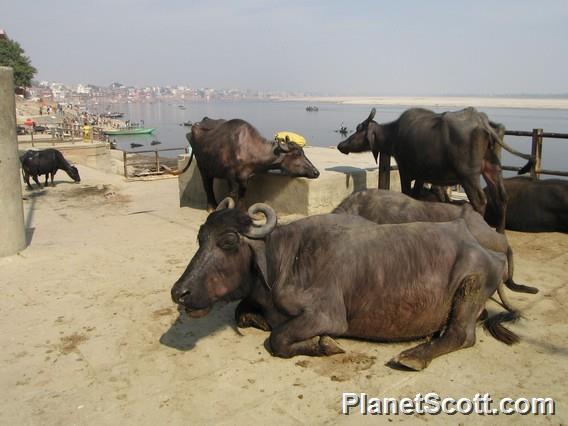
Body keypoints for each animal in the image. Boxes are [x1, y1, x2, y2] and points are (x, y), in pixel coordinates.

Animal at [164, 117, 320, 211]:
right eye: (297, 154)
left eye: (303, 152)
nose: (316, 172)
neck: (248, 149)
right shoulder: (231, 177)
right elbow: (232, 195)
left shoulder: (245, 178)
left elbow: (243, 194)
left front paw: (242, 211)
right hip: (204, 168)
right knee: (207, 185)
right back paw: (212, 207)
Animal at [170, 200, 520, 370]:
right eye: (201, 238)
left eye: (229, 241)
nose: (179, 293)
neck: (287, 259)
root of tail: (490, 251)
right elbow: (242, 313)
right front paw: (259, 318)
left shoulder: (327, 316)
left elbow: (278, 339)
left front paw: (324, 345)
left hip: (470, 286)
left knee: (461, 335)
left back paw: (413, 356)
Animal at [336, 106, 532, 233]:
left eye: (359, 128)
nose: (341, 145)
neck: (395, 134)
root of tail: (482, 121)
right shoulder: (421, 175)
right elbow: (416, 196)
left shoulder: (405, 171)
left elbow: (407, 193)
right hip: (492, 168)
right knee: (502, 196)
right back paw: (500, 231)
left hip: (468, 175)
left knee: (480, 201)